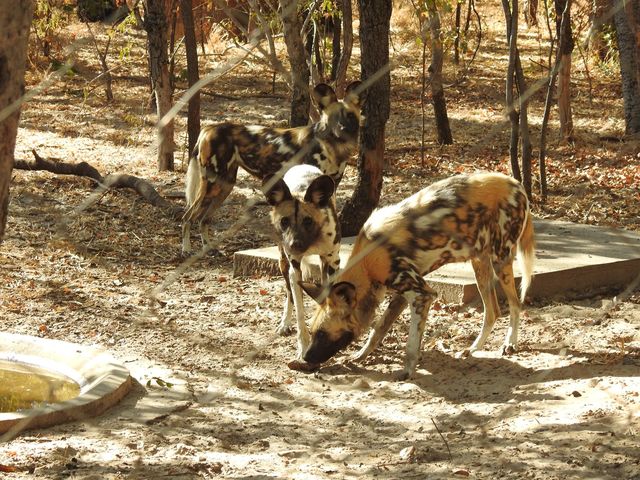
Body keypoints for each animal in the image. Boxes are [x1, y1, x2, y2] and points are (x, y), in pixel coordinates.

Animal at [181, 81, 360, 255]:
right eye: (334, 118)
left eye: (350, 116)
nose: (342, 129)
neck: (334, 146)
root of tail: (208, 128)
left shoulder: (331, 184)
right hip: (212, 185)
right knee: (188, 217)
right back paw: (186, 250)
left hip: (224, 186)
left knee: (203, 219)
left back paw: (209, 249)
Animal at [262, 165, 340, 360]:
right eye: (284, 221)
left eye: (308, 221)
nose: (294, 244)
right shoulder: (295, 269)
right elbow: (300, 314)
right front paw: (303, 347)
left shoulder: (333, 264)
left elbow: (326, 299)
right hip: (284, 264)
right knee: (290, 295)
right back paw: (285, 322)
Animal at [300, 172, 536, 378]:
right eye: (311, 332)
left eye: (322, 334)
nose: (305, 358)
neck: (367, 264)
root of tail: (515, 183)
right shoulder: (403, 295)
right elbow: (379, 329)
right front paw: (361, 355)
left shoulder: (422, 294)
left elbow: (411, 343)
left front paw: (407, 371)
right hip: (480, 265)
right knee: (493, 311)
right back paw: (473, 348)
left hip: (500, 261)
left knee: (515, 304)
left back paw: (510, 343)